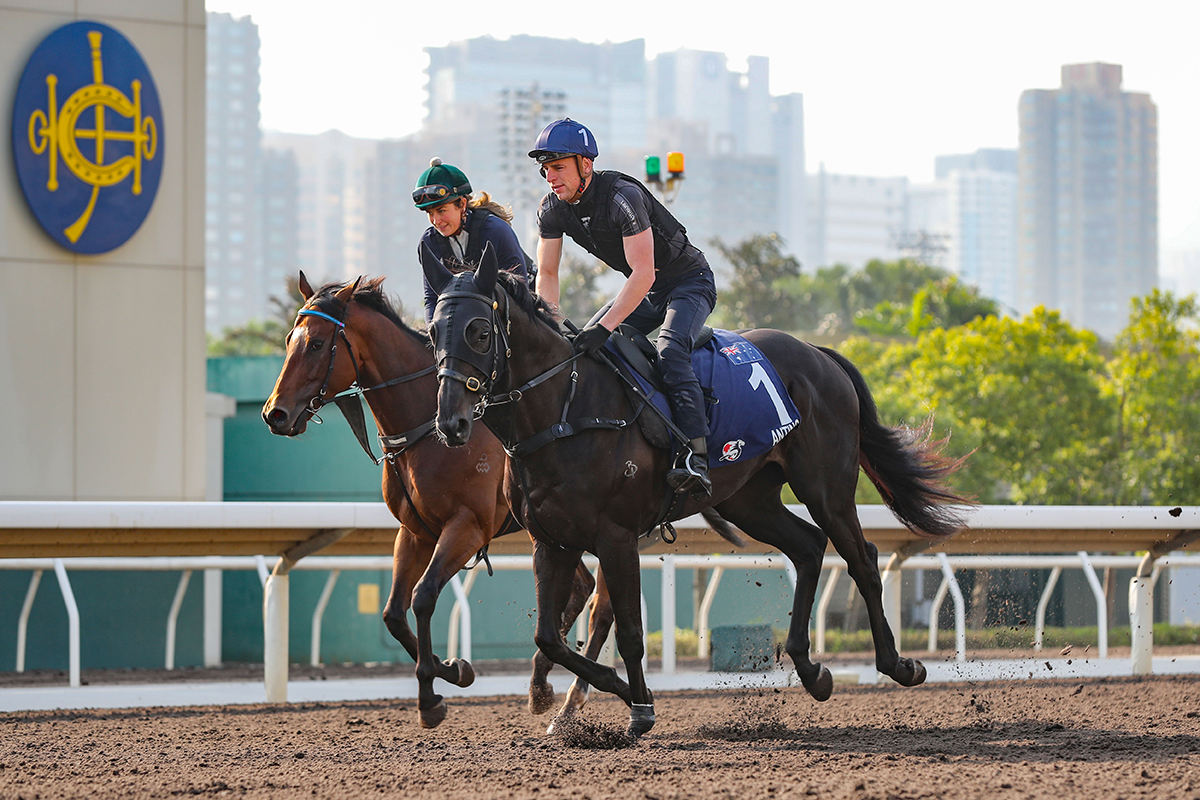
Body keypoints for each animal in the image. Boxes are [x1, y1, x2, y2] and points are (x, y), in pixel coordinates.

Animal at [264, 272, 614, 729]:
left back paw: (574, 697)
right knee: (582, 589)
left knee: (602, 605)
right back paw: (541, 683)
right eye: (290, 339)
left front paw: (431, 694)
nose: (275, 414)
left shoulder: (466, 527)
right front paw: (453, 669)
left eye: (318, 344)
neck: (424, 426)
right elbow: (394, 614)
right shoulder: (415, 532)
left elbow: (424, 596)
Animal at [422, 245, 974, 738]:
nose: (450, 423)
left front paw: (639, 706)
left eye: (479, 331)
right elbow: (549, 637)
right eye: (431, 333)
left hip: (827, 487)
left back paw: (899, 665)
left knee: (861, 558)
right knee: (809, 547)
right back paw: (812, 671)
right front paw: (612, 693)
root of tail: (819, 354)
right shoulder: (551, 542)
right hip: (747, 499)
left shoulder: (615, 536)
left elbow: (628, 631)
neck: (565, 411)